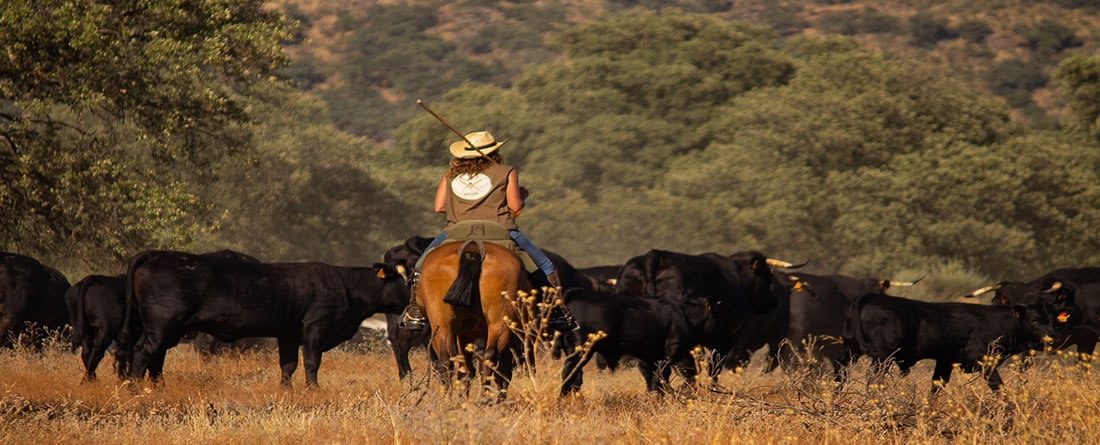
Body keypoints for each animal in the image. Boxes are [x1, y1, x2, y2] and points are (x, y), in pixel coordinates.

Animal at [120, 249, 411, 384]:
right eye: (403, 279)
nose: (413, 299)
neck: (345, 284)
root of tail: (157, 254)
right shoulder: (315, 328)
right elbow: (312, 362)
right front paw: (313, 389)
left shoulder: (288, 334)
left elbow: (288, 365)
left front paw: (287, 391)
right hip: (162, 325)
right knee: (144, 352)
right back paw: (136, 387)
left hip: (164, 328)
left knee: (154, 358)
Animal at [413, 239, 530, 395]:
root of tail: (472, 247)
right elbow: (503, 374)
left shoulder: (463, 334)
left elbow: (466, 370)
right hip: (500, 324)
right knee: (490, 357)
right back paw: (485, 397)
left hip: (442, 324)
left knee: (446, 362)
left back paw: (447, 398)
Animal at [840, 287, 1073, 388]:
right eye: (1034, 320)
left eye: (1051, 319)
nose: (1053, 337)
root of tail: (874, 296)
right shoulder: (983, 360)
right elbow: (999, 387)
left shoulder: (945, 361)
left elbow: (936, 387)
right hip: (882, 358)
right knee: (872, 380)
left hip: (851, 352)